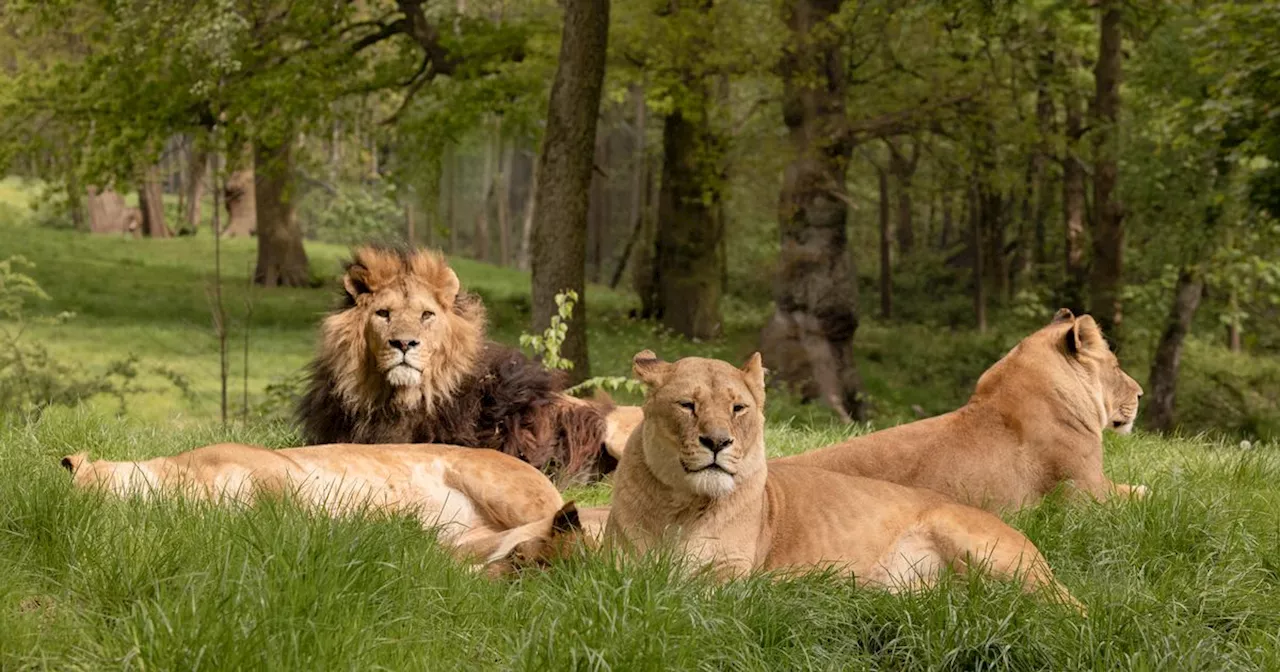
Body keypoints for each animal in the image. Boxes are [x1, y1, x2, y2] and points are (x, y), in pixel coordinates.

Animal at [601, 348, 1080, 604]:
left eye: (738, 408)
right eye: (688, 405)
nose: (717, 442)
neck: (680, 506)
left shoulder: (732, 572)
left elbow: (692, 589)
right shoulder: (617, 567)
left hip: (979, 543)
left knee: (1071, 605)